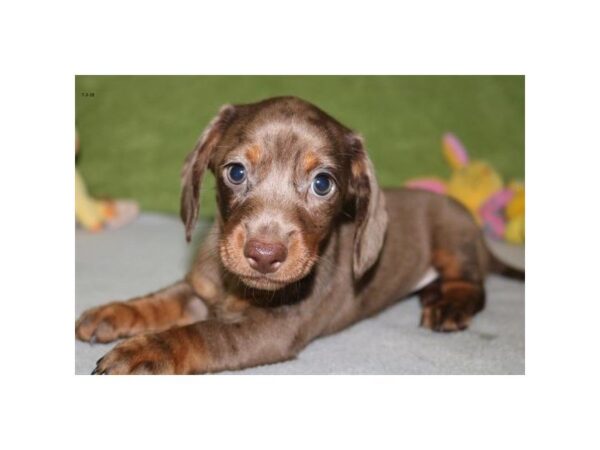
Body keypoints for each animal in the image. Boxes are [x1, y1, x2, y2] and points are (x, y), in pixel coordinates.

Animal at [76, 96, 520, 374]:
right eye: (236, 171)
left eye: (322, 183)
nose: (264, 254)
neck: (239, 288)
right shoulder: (199, 289)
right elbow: (159, 302)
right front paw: (112, 313)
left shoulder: (272, 329)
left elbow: (202, 334)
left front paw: (147, 350)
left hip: (453, 237)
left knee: (473, 283)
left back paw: (449, 304)